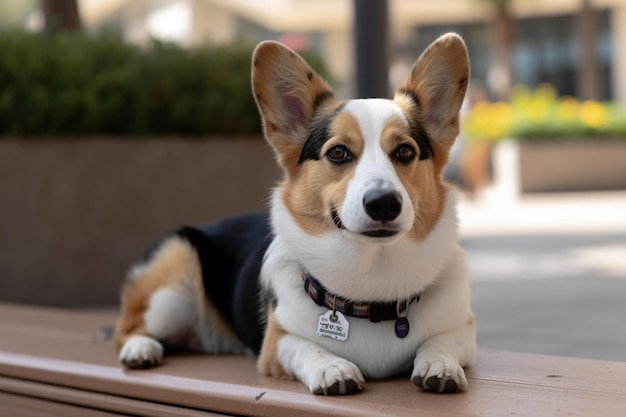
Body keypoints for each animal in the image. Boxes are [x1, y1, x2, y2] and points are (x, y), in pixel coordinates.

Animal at [114, 32, 472, 394]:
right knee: (125, 328)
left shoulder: (463, 328)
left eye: (404, 152)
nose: (384, 202)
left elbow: (440, 341)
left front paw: (439, 365)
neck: (371, 276)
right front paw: (333, 368)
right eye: (338, 152)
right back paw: (139, 350)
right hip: (172, 286)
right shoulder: (277, 343)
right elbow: (307, 347)